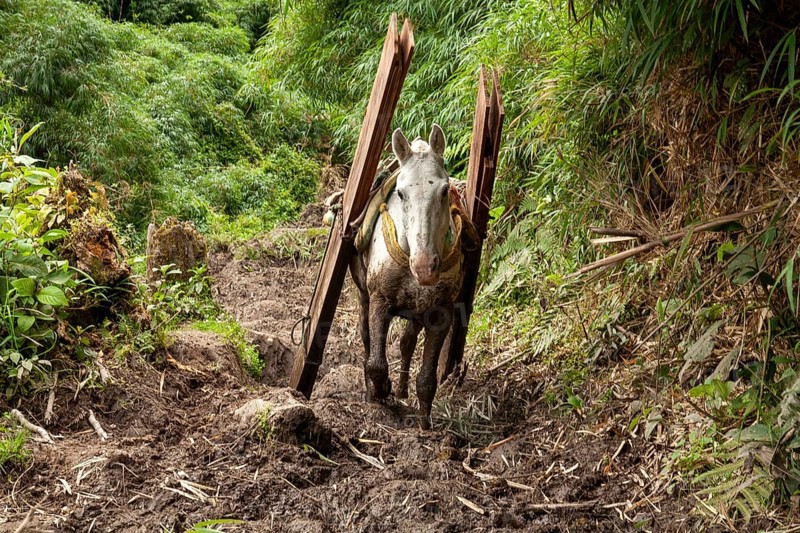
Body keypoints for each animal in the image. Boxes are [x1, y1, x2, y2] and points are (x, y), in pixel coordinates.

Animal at [349, 124, 474, 429]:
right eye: (401, 193)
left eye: (444, 191)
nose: (424, 267)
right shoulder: (379, 301)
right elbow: (376, 364)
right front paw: (381, 393)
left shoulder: (440, 313)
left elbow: (427, 379)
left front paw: (425, 425)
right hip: (364, 297)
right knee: (368, 341)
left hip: (417, 312)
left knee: (406, 344)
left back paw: (403, 389)